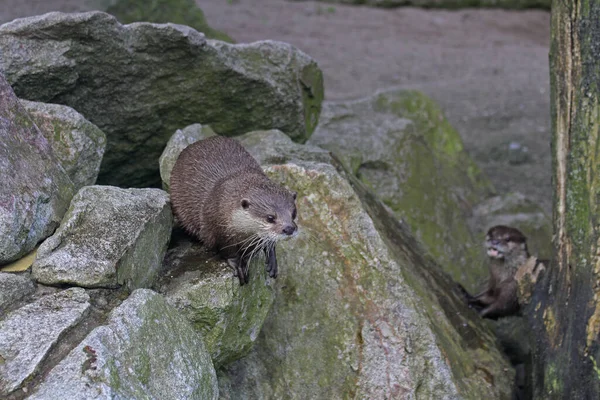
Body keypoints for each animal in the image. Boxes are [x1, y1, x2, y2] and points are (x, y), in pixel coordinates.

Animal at [169, 136, 298, 286]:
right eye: (270, 217)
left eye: (293, 213)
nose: (289, 228)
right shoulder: (217, 229)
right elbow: (226, 250)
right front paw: (238, 265)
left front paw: (271, 256)